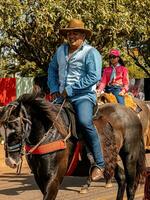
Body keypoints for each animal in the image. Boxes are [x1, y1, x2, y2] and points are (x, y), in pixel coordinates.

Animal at [0, 94, 145, 200]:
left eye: (15, 129)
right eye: (2, 130)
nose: (10, 161)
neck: (51, 133)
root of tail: (132, 113)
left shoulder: (54, 178)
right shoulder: (39, 177)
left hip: (129, 157)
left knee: (131, 186)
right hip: (111, 159)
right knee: (121, 177)